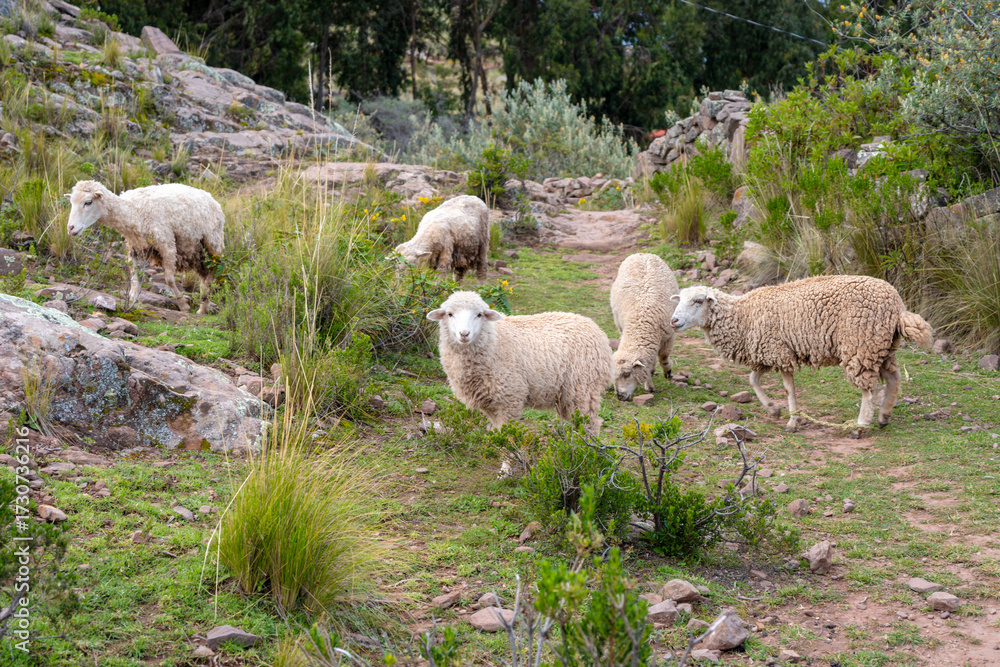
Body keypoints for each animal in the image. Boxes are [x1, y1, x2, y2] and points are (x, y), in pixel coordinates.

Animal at [66, 180, 225, 314]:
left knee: (213, 272)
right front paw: (133, 294)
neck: (133, 211)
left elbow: (169, 279)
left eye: (88, 202)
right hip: (195, 252)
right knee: (204, 276)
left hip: (213, 242)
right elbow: (132, 269)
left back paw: (203, 305)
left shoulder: (166, 243)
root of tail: (211, 197)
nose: (70, 228)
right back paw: (204, 305)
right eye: (71, 202)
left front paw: (183, 305)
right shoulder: (133, 244)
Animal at [427, 291, 613, 435]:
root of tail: (597, 329)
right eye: (450, 314)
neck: (494, 341)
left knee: (591, 424)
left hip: (583, 388)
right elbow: (498, 430)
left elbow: (507, 434)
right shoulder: (489, 402)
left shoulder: (510, 397)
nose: (464, 334)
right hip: (568, 396)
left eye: (479, 314)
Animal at [610, 253, 679, 400]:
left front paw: (667, 371)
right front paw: (649, 384)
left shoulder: (669, 336)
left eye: (627, 374)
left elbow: (663, 356)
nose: (620, 396)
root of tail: (642, 253)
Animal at [669, 275, 933, 432]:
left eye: (698, 301)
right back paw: (884, 415)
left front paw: (792, 420)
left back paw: (861, 424)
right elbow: (753, 380)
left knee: (869, 389)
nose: (673, 321)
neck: (743, 315)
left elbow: (788, 388)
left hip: (861, 344)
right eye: (679, 300)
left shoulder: (779, 352)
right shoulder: (766, 353)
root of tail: (897, 305)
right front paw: (772, 409)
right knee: (893, 378)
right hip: (882, 345)